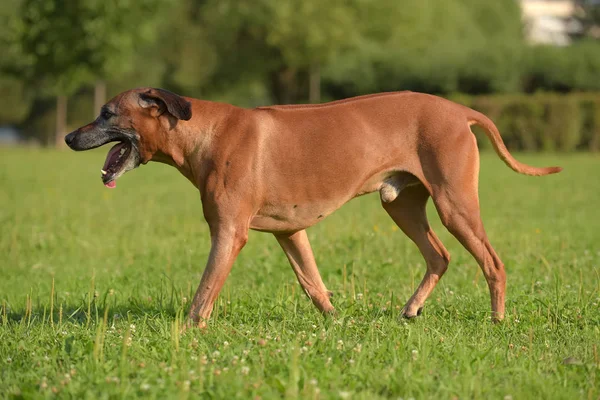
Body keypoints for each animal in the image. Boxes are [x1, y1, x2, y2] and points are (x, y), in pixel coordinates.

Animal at [65, 89, 564, 326]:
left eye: (107, 113)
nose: (70, 137)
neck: (202, 131)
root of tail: (461, 110)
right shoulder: (291, 232)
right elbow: (313, 284)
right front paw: (335, 322)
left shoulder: (229, 232)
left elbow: (204, 292)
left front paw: (188, 333)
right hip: (400, 204)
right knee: (439, 256)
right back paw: (410, 310)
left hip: (454, 203)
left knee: (492, 262)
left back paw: (497, 319)